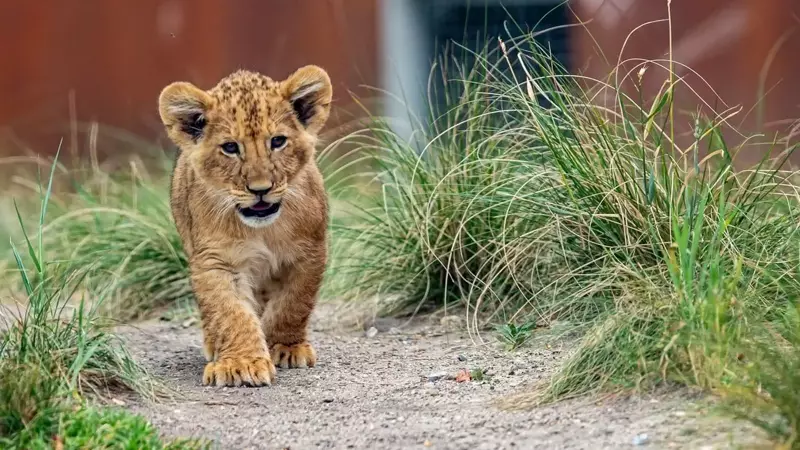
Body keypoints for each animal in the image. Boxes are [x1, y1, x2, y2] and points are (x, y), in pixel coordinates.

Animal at [157, 66, 332, 387]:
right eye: (230, 147)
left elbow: (293, 304)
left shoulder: (309, 253)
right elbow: (230, 313)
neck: (261, 229)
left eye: (277, 141)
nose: (260, 189)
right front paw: (240, 363)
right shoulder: (216, 261)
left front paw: (285, 346)